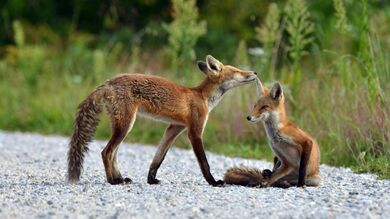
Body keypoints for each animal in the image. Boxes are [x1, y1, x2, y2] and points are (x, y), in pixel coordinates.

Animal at [67, 55, 258, 186]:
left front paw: (151, 179)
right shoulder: (194, 132)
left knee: (113, 153)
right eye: (237, 71)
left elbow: (158, 158)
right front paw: (213, 182)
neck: (202, 97)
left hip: (123, 127)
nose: (255, 72)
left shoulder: (174, 128)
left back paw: (119, 177)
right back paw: (113, 181)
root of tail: (107, 83)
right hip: (126, 125)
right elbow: (204, 162)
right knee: (106, 152)